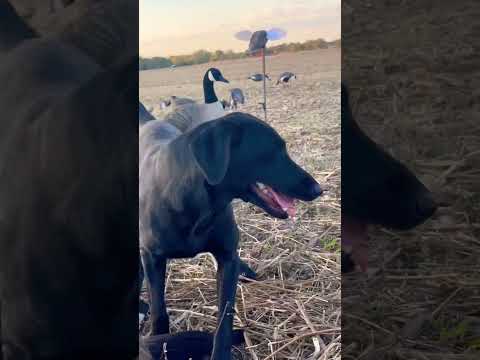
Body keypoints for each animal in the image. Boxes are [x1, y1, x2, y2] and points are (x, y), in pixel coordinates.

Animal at [139, 111, 322, 358]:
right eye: (272, 151)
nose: (318, 189)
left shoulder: (227, 258)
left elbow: (225, 317)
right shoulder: (152, 257)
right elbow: (158, 308)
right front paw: (160, 340)